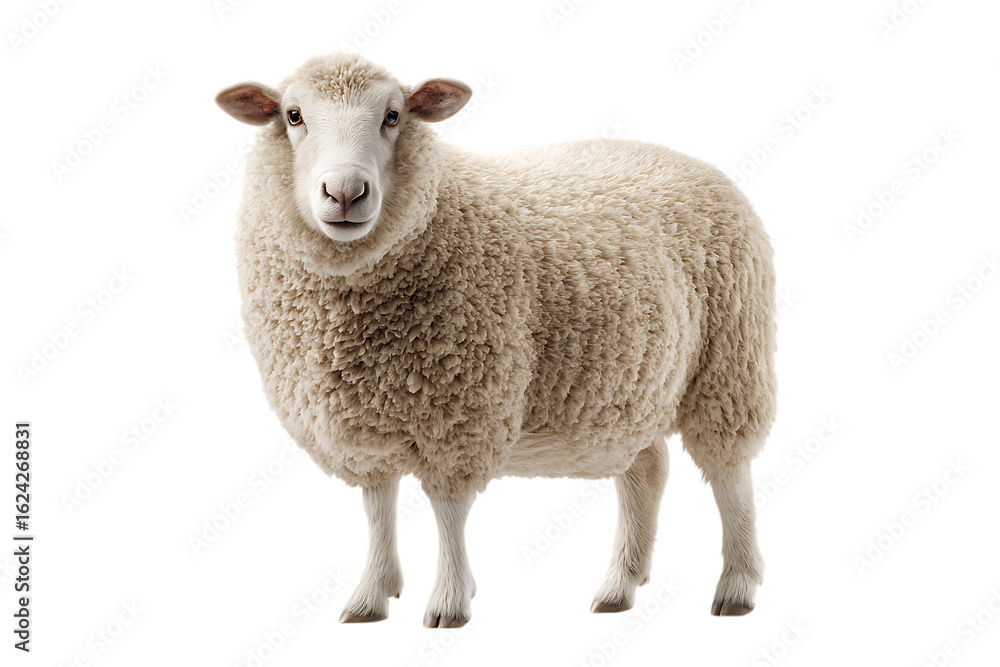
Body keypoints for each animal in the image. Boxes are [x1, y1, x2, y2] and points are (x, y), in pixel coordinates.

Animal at [215, 52, 777, 628]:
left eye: (394, 115)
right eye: (293, 115)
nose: (345, 193)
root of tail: (694, 163)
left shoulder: (462, 412)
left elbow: (448, 512)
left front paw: (449, 602)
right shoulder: (364, 426)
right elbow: (377, 506)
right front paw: (370, 595)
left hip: (730, 362)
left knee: (730, 473)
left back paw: (737, 587)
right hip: (631, 390)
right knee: (647, 470)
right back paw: (620, 586)